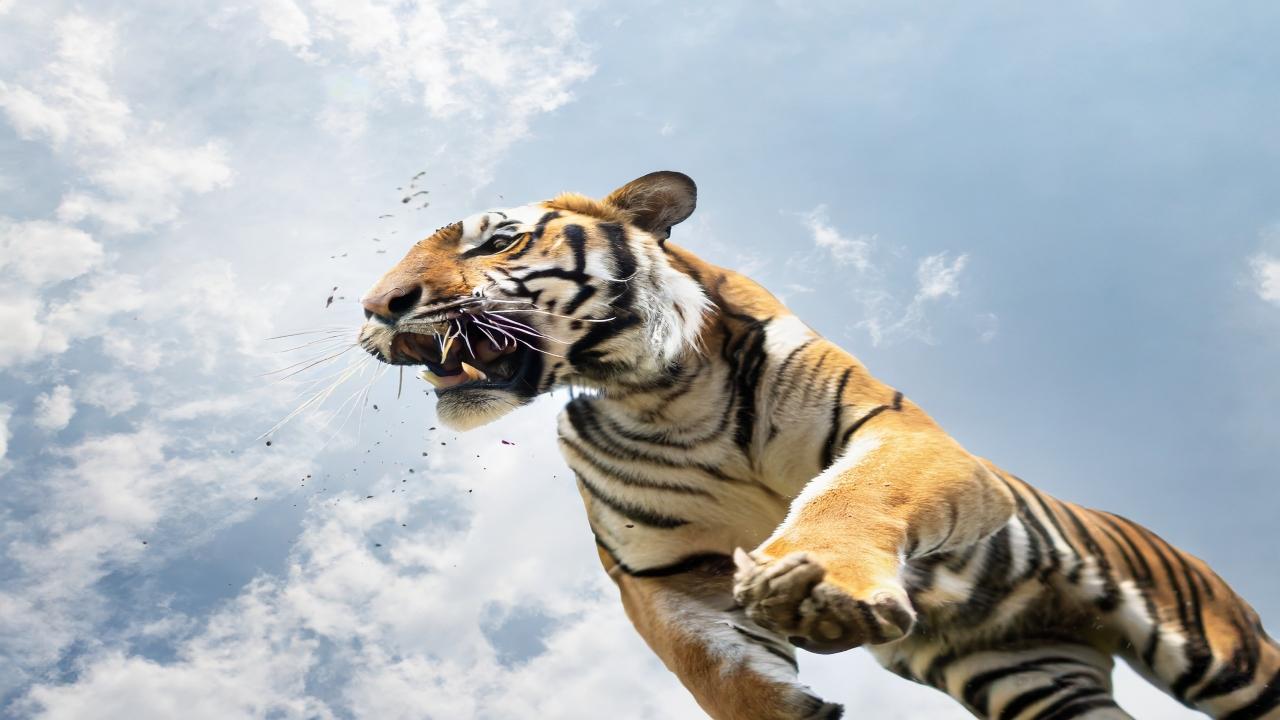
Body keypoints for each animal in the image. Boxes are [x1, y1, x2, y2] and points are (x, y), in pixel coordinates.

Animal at [357, 171, 1280, 719]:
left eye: (499, 241)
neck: (660, 389)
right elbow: (712, 665)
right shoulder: (654, 570)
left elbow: (852, 498)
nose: (376, 307)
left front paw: (820, 582)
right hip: (1033, 676)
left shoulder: (897, 435)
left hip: (1221, 654)